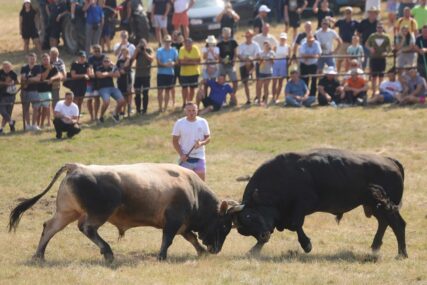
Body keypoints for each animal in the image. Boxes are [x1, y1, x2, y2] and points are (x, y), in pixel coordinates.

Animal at [231, 149, 408, 258]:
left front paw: (307, 245)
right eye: (243, 229)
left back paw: (401, 255)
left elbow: (295, 225)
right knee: (384, 223)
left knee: (398, 224)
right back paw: (375, 248)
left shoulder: (303, 206)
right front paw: (252, 251)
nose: (263, 235)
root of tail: (391, 161)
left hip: (387, 206)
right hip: (376, 207)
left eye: (250, 215)